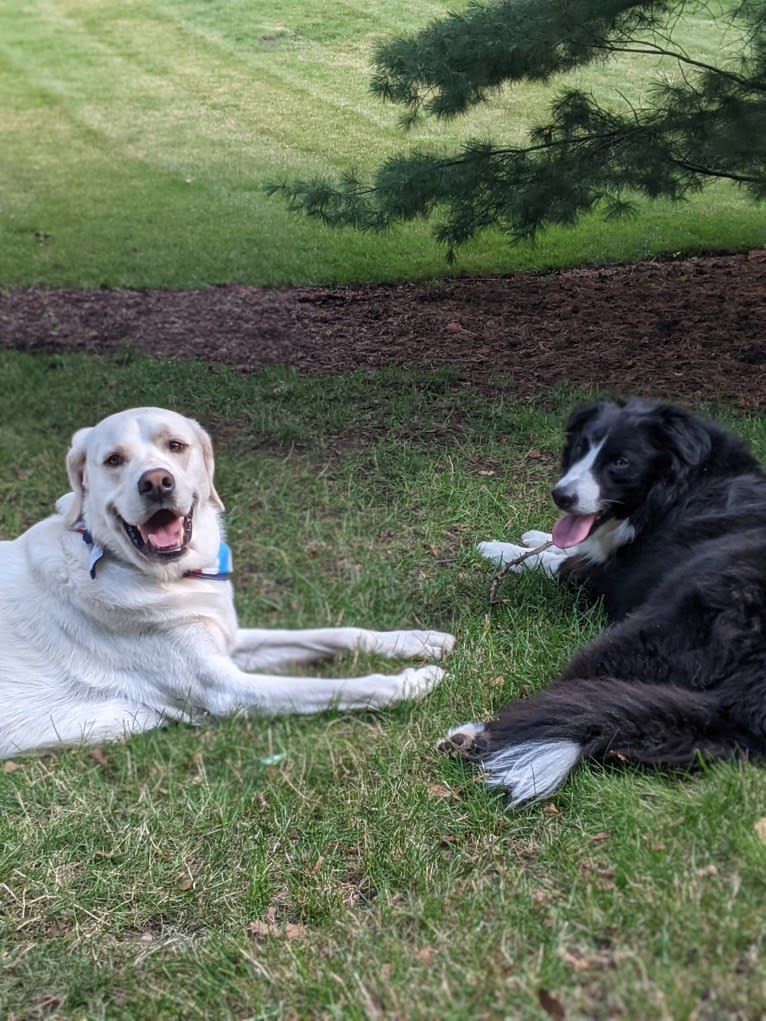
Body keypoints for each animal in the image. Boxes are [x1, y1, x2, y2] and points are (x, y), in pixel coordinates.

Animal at [1, 408, 455, 759]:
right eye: (113, 460)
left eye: (176, 446)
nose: (156, 481)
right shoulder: (225, 689)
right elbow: (337, 687)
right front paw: (410, 681)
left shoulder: (227, 640)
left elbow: (336, 633)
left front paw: (415, 640)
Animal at [441, 398, 766, 804]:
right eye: (581, 447)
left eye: (621, 462)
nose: (561, 496)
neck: (683, 482)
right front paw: (537, 536)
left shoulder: (605, 579)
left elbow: (557, 562)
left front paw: (501, 550)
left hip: (649, 629)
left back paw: (472, 735)